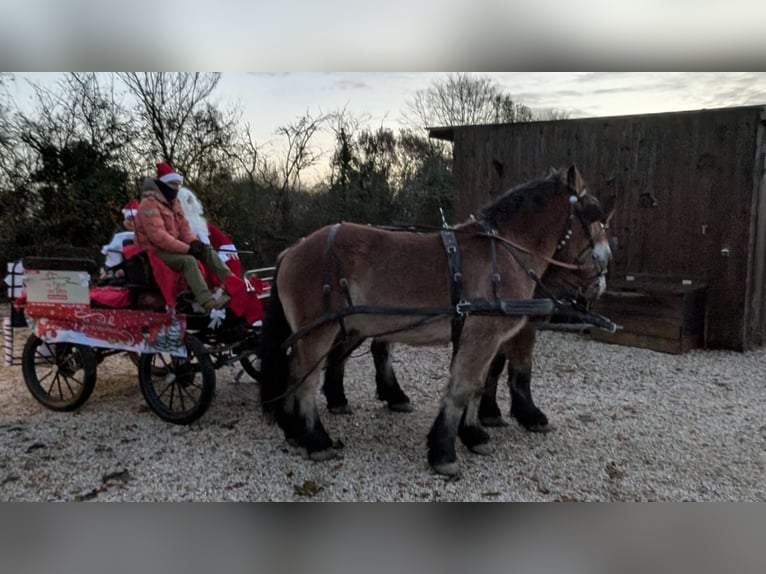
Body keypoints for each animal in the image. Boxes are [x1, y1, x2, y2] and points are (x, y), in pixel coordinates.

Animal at [260, 165, 616, 476]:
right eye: (595, 216)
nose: (604, 267)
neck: (502, 254)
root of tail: (291, 251)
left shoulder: (485, 339)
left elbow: (478, 386)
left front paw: (473, 434)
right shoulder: (482, 336)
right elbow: (463, 387)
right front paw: (444, 451)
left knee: (298, 372)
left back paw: (294, 430)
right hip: (320, 331)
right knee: (305, 381)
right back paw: (317, 440)